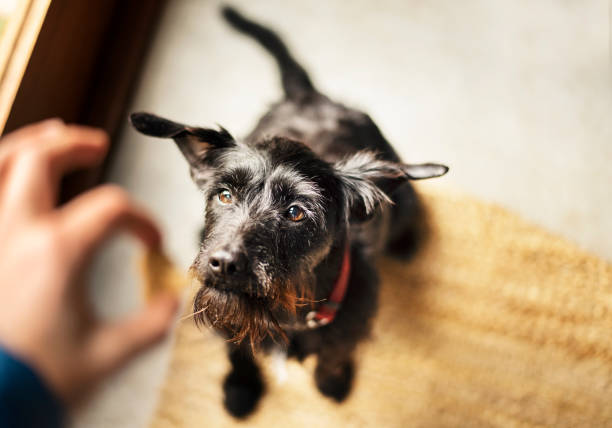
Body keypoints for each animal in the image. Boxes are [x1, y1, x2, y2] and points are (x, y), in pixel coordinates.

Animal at [129, 7, 448, 418]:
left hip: (404, 195)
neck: (287, 311)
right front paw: (240, 388)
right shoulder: (228, 322)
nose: (223, 263)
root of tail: (310, 96)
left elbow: (334, 355)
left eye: (296, 212)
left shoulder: (350, 326)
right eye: (225, 195)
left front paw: (332, 383)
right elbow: (238, 351)